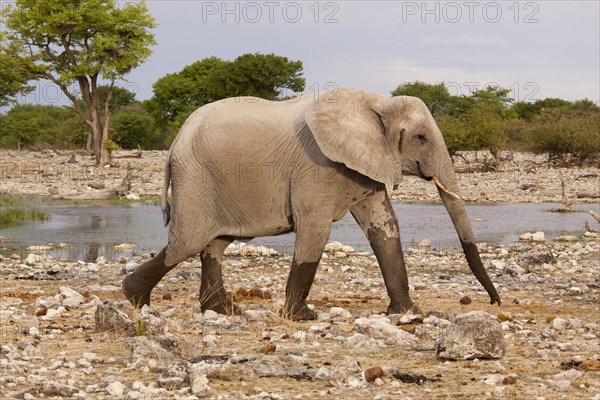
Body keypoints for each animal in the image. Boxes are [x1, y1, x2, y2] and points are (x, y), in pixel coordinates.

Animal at [122, 89, 502, 320]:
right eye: (421, 137)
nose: (495, 302)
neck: (377, 103)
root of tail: (174, 143)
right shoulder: (316, 164)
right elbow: (314, 228)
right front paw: (301, 317)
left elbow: (384, 228)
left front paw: (408, 312)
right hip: (195, 175)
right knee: (187, 242)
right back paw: (134, 298)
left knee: (213, 244)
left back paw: (223, 312)